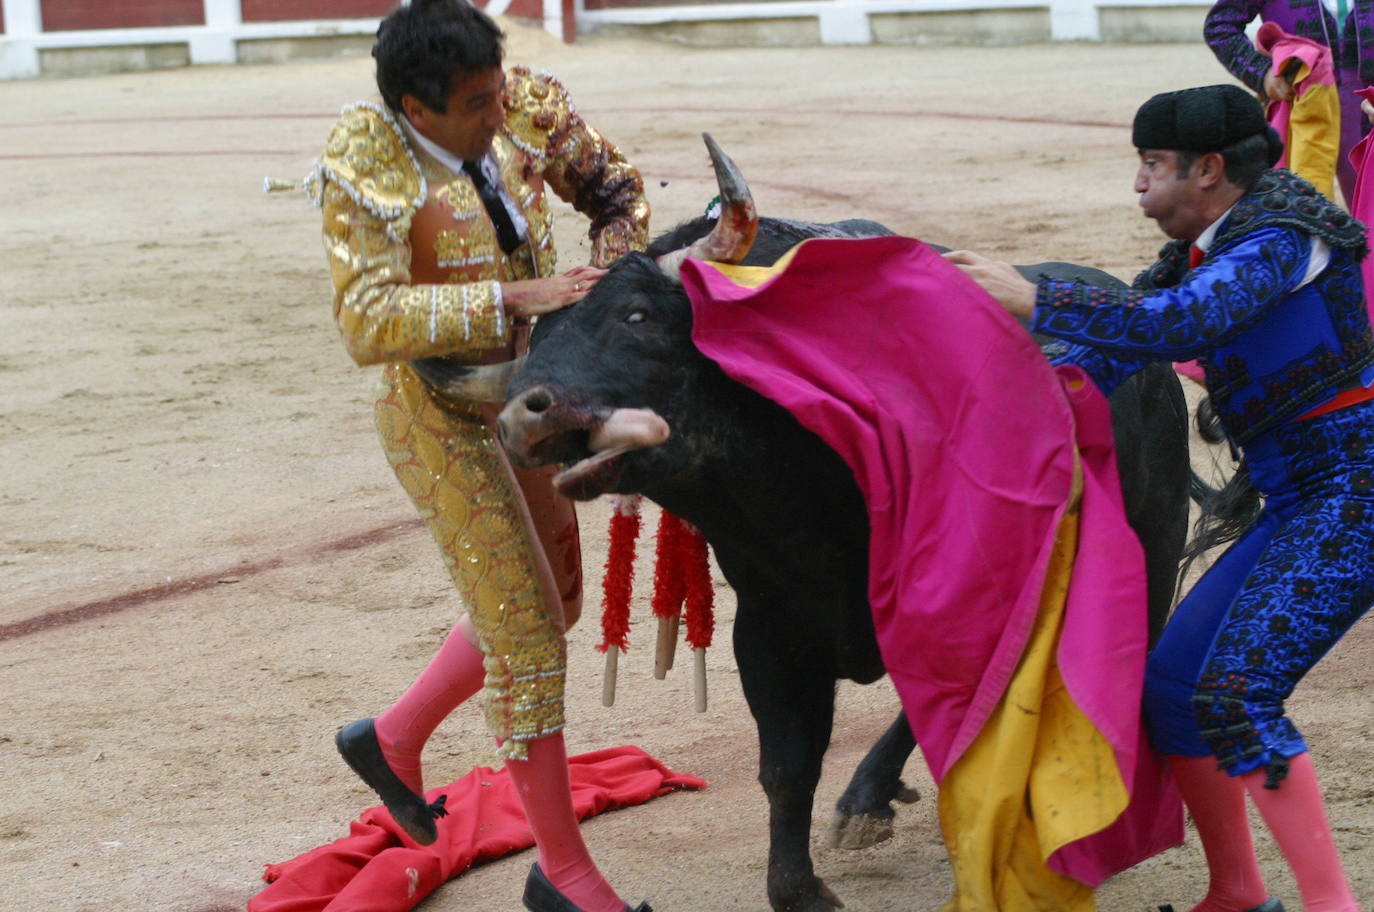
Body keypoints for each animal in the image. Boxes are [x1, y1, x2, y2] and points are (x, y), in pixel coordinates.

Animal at [412, 215, 1187, 912]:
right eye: (534, 346)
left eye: (637, 315)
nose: (524, 415)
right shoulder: (769, 632)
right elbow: (787, 765)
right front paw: (799, 889)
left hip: (1153, 548)